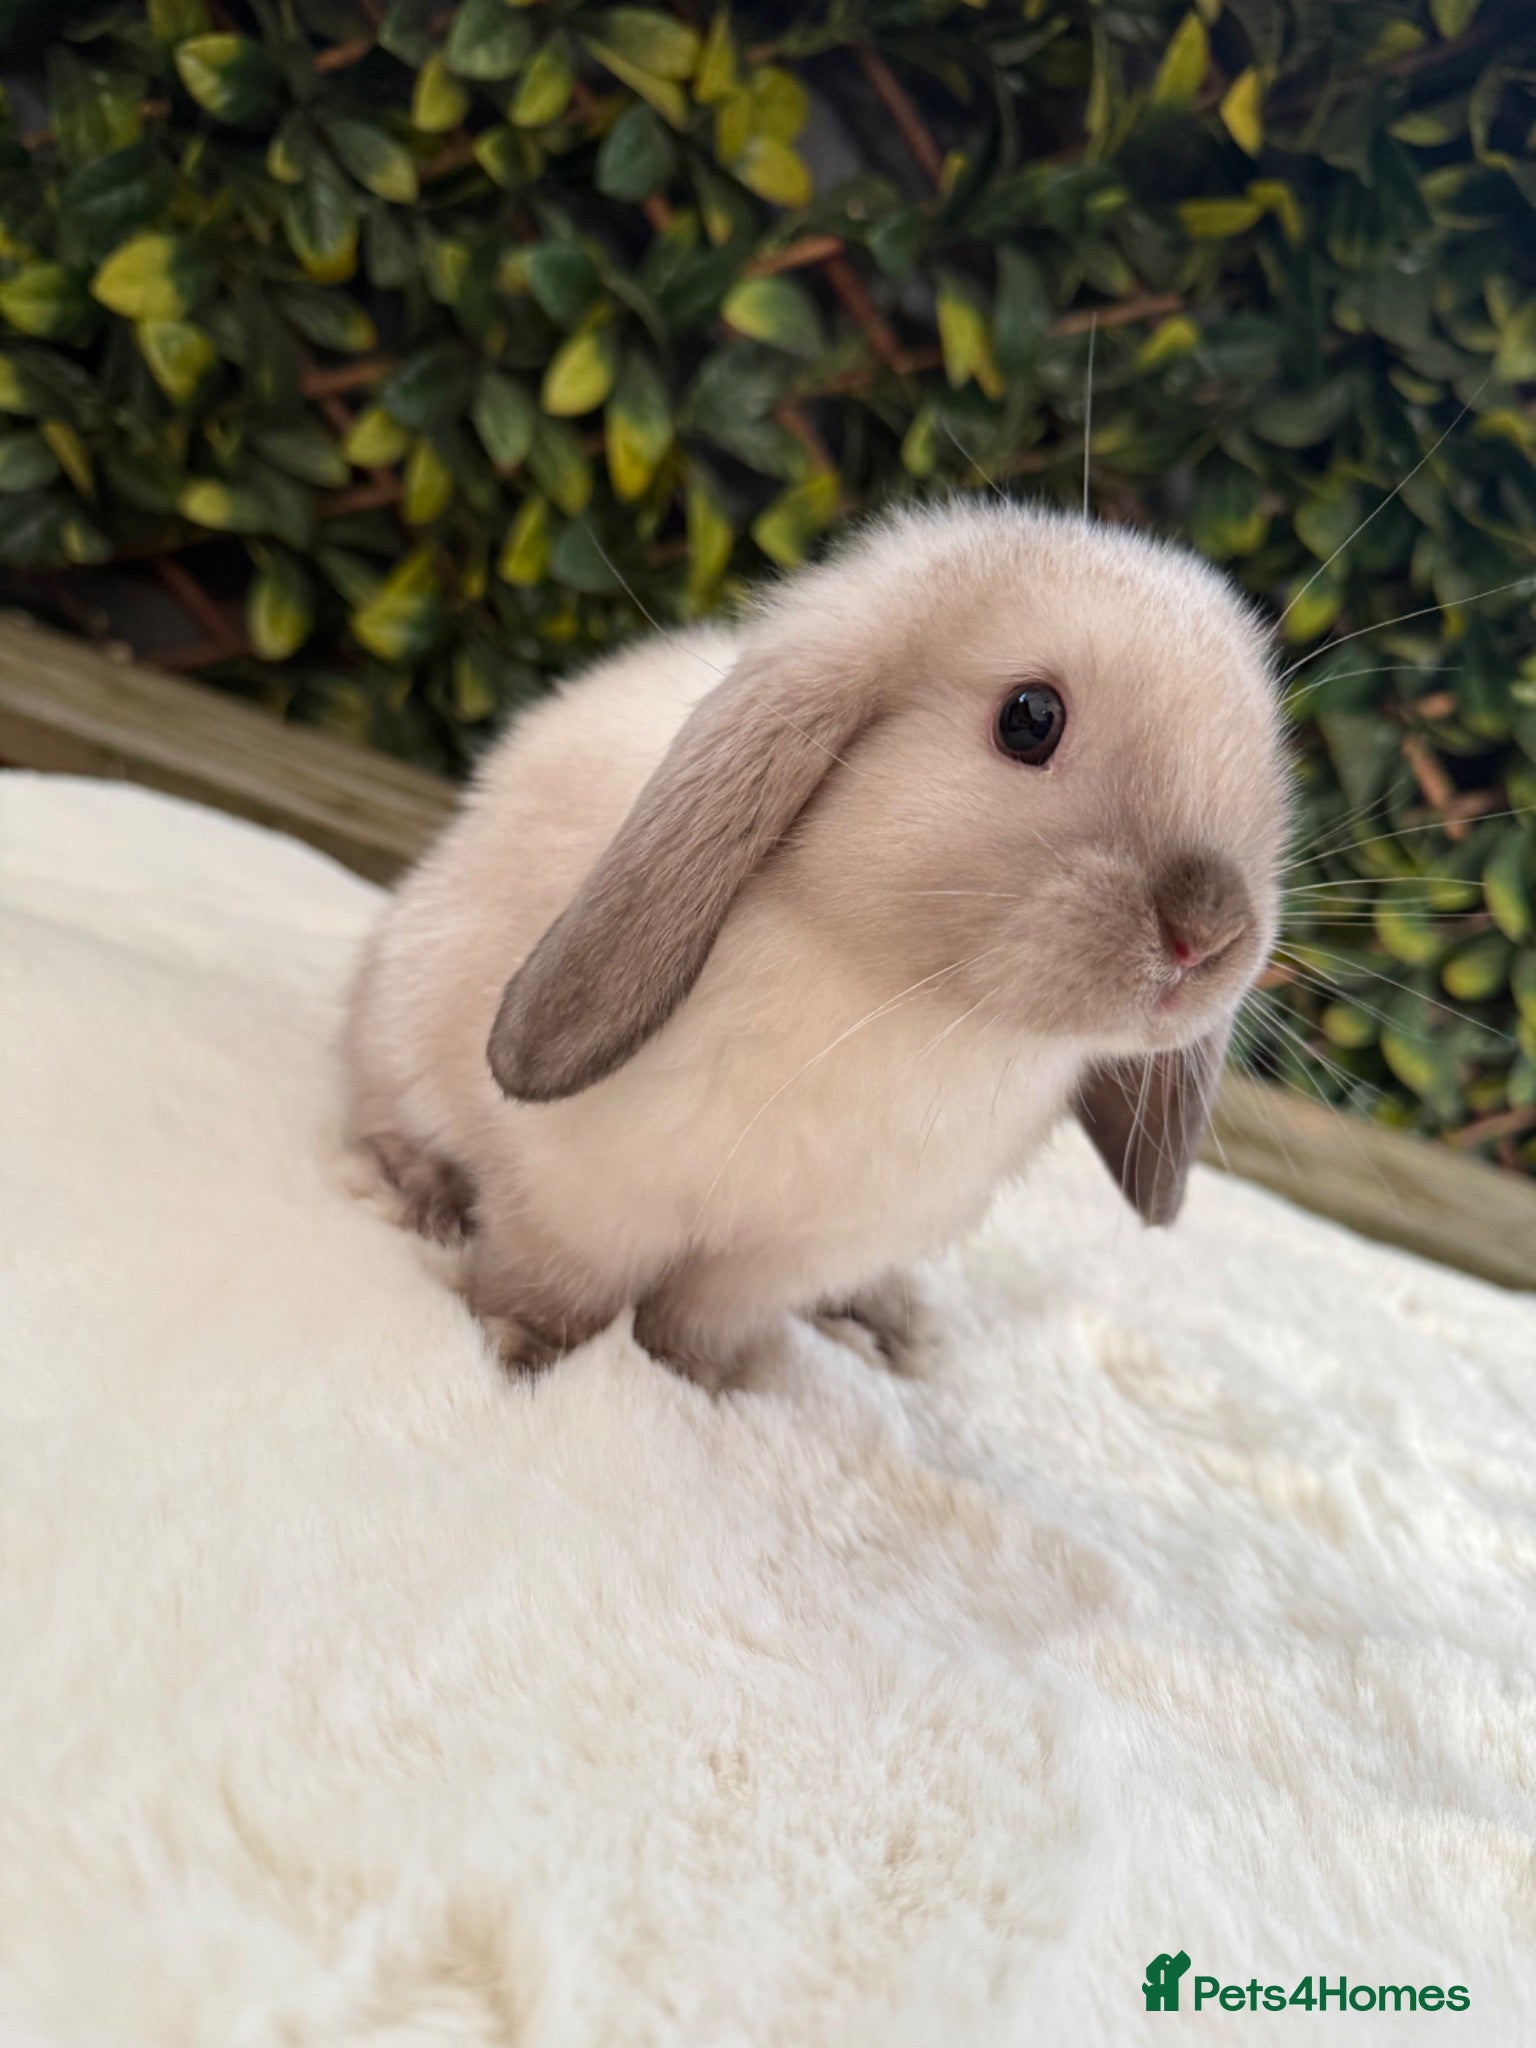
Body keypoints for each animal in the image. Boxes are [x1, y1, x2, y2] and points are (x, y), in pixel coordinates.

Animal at [342, 500, 1289, 1386]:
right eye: (1030, 718)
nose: (1208, 933)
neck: (903, 1006)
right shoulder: (584, 1200)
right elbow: (559, 1292)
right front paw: (518, 1357)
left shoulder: (784, 1258)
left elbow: (693, 1328)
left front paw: (693, 1387)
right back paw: (421, 1193)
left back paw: (890, 1323)